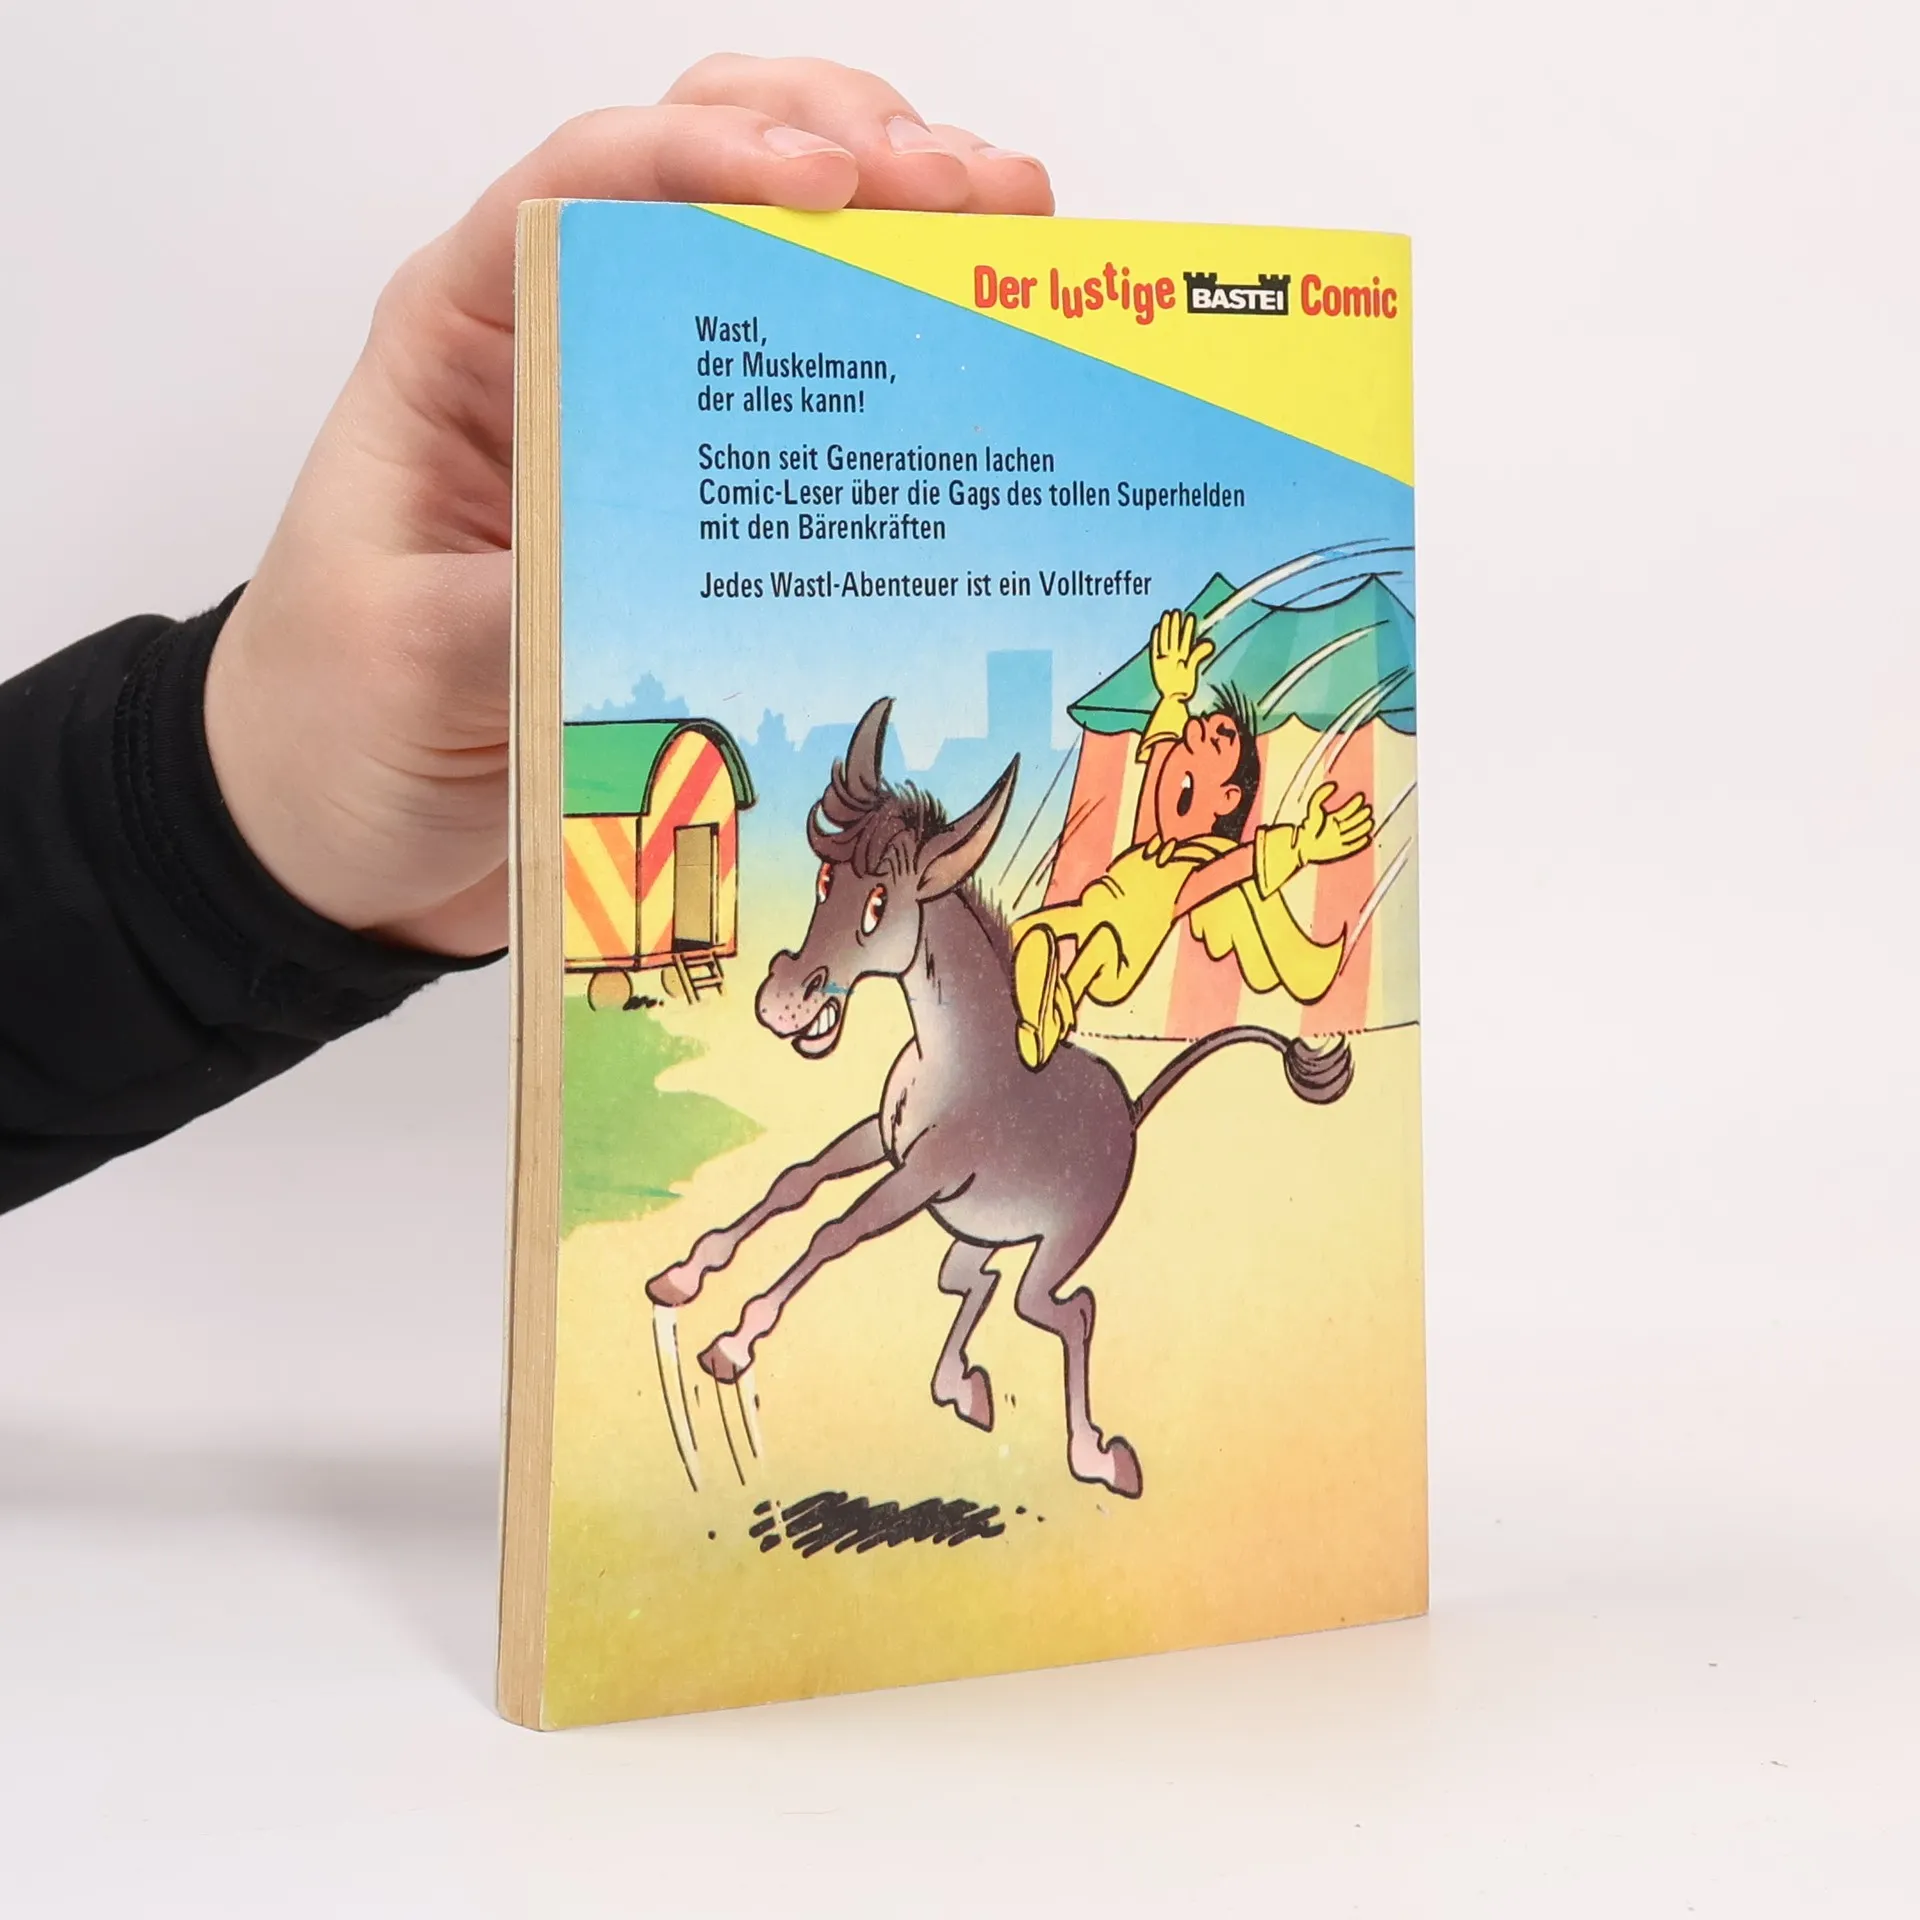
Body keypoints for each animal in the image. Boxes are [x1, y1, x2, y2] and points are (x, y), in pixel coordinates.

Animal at [644, 698, 1352, 1497]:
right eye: (824, 881)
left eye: (878, 905)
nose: (781, 1003)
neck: (955, 1059)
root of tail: (1129, 1111)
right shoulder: (882, 1141)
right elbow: (795, 1182)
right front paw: (681, 1277)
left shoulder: (922, 1176)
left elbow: (834, 1232)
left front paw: (735, 1341)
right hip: (976, 1229)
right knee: (971, 1280)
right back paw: (960, 1383)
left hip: (1058, 1246)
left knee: (1066, 1310)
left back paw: (1096, 1454)